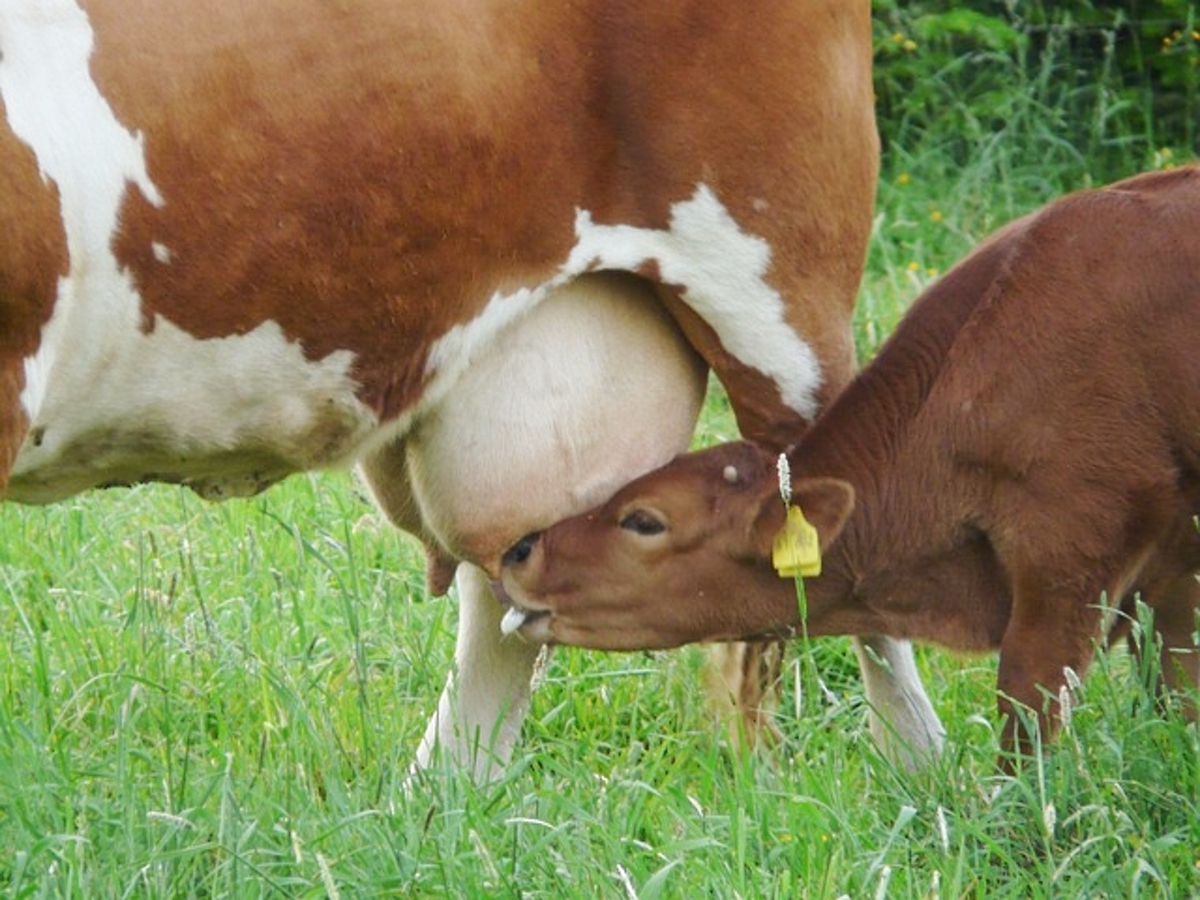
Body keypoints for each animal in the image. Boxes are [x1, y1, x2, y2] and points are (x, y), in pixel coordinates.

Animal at [501, 168, 1200, 763]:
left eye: (644, 520)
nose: (519, 551)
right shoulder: (1173, 577)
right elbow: (1178, 697)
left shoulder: (1071, 559)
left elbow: (1025, 722)